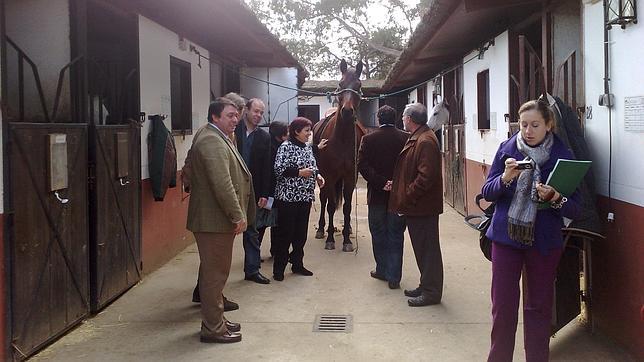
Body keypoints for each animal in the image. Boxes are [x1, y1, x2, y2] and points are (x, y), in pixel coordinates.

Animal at [314, 58, 364, 252]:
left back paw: (347, 229)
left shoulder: (350, 177)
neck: (341, 140)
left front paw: (347, 241)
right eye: (341, 84)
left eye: (358, 85)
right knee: (324, 200)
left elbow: (348, 207)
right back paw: (321, 229)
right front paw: (329, 238)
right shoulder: (329, 176)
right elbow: (329, 206)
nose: (347, 111)